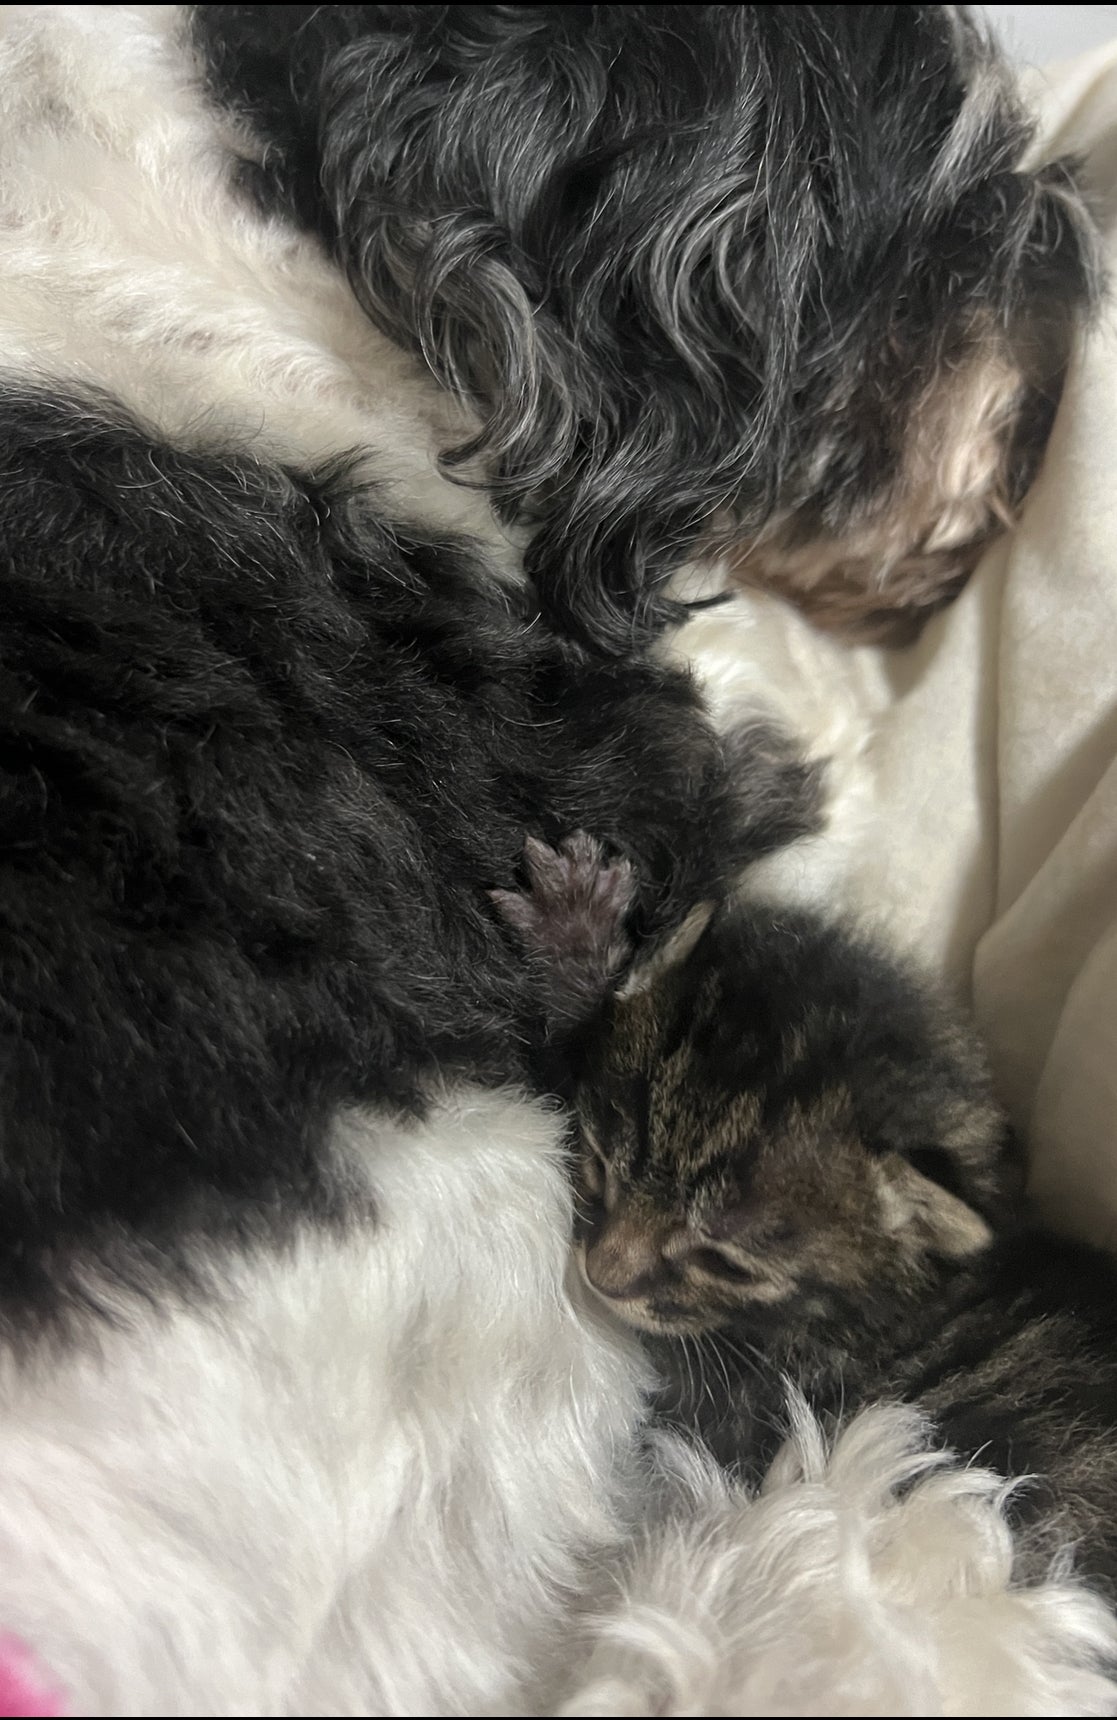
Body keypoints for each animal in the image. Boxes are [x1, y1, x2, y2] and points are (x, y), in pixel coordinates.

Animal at [492, 831, 1117, 1601]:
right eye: (603, 1164)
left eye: (723, 1260)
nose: (600, 1274)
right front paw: (577, 929)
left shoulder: (742, 1400)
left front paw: (578, 958)